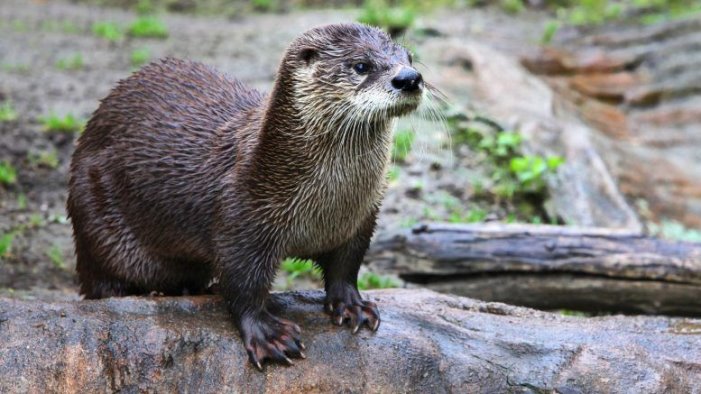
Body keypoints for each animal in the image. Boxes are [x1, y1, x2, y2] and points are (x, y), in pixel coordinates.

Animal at [68, 23, 424, 370]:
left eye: (408, 58)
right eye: (360, 66)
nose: (409, 78)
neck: (328, 205)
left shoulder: (361, 219)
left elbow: (346, 267)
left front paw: (353, 305)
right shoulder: (242, 218)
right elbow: (242, 284)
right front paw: (268, 334)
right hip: (95, 223)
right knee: (104, 283)